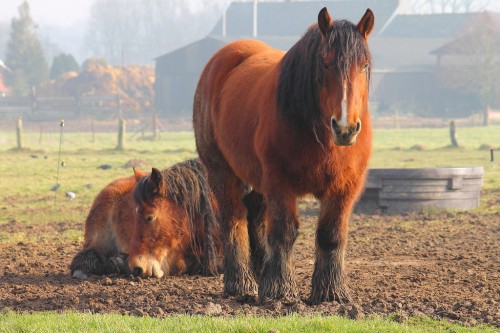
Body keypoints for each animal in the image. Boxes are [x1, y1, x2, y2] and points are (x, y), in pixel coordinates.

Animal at [193, 7, 374, 304]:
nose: (345, 127)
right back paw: (241, 283)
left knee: (255, 215)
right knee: (233, 220)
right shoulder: (280, 183)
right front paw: (279, 290)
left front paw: (331, 292)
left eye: (364, 65)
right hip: (221, 171)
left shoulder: (345, 186)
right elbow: (284, 232)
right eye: (325, 64)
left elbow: (331, 235)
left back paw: (260, 271)